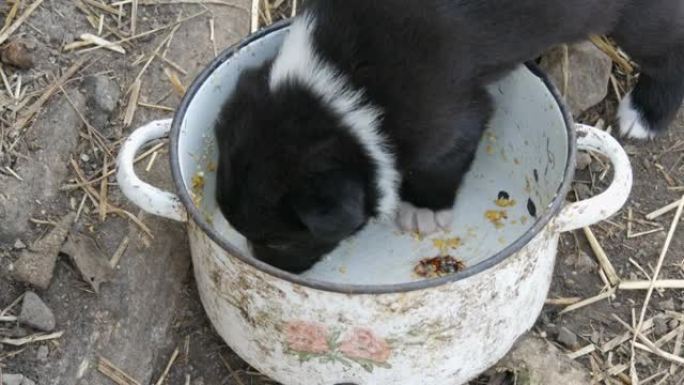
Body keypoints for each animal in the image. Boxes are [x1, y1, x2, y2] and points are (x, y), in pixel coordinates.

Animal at [216, 0, 684, 272]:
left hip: (638, 17)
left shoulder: (450, 117)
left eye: (279, 238)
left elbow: (439, 163)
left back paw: (646, 112)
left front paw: (422, 209)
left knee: (669, 50)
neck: (341, 82)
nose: (270, 269)